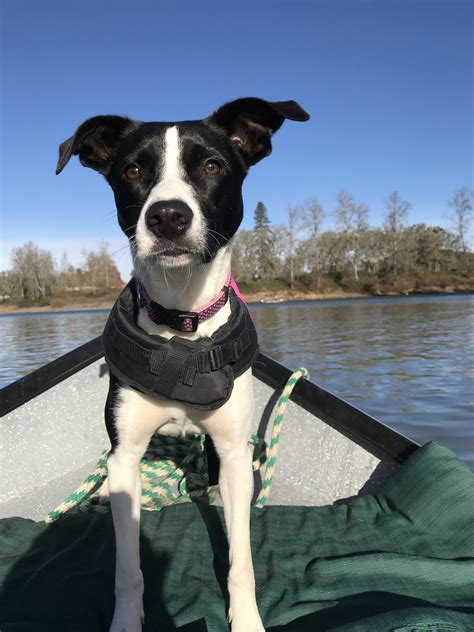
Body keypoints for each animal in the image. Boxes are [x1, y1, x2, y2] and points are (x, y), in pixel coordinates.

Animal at [57, 99, 310, 632]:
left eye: (212, 166)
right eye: (132, 171)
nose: (167, 216)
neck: (181, 321)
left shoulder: (232, 453)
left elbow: (241, 561)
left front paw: (247, 620)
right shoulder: (126, 455)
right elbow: (128, 568)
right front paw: (126, 622)